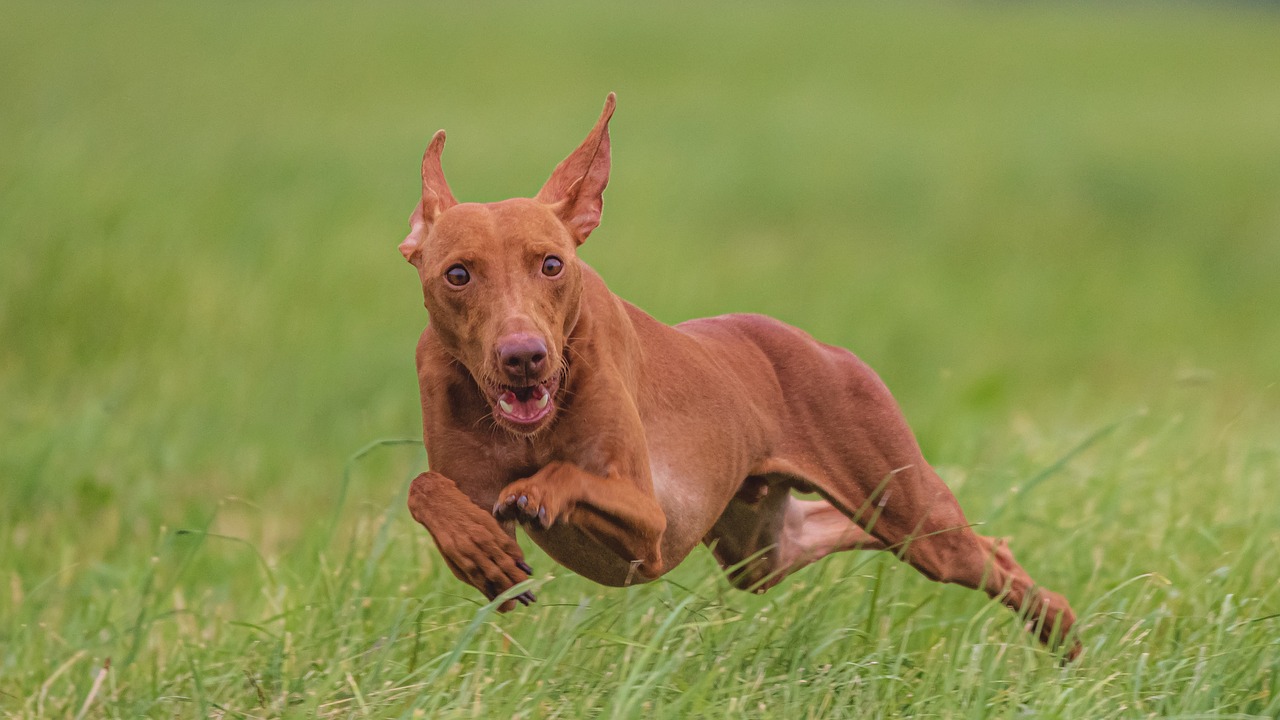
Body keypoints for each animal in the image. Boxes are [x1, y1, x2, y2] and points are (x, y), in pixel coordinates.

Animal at [399, 94, 1080, 655]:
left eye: (552, 264)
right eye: (457, 274)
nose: (524, 356)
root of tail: (821, 346)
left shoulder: (649, 526)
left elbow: (563, 475)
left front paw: (537, 491)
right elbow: (424, 488)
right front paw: (477, 549)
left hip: (910, 513)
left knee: (984, 552)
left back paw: (1059, 628)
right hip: (763, 550)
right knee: (830, 531)